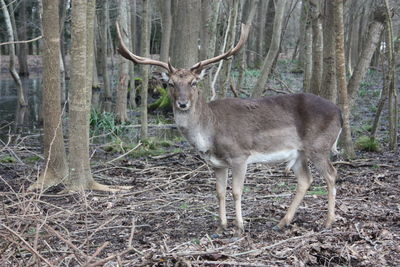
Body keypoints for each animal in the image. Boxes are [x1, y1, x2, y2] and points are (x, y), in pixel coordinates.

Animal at [115, 23, 340, 237]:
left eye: (193, 82)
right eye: (170, 83)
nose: (182, 103)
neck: (209, 134)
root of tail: (340, 114)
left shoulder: (240, 155)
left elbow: (237, 191)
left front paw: (239, 227)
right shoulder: (217, 163)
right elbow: (219, 192)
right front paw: (221, 226)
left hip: (319, 146)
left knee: (331, 174)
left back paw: (328, 222)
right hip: (299, 153)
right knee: (305, 179)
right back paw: (282, 222)